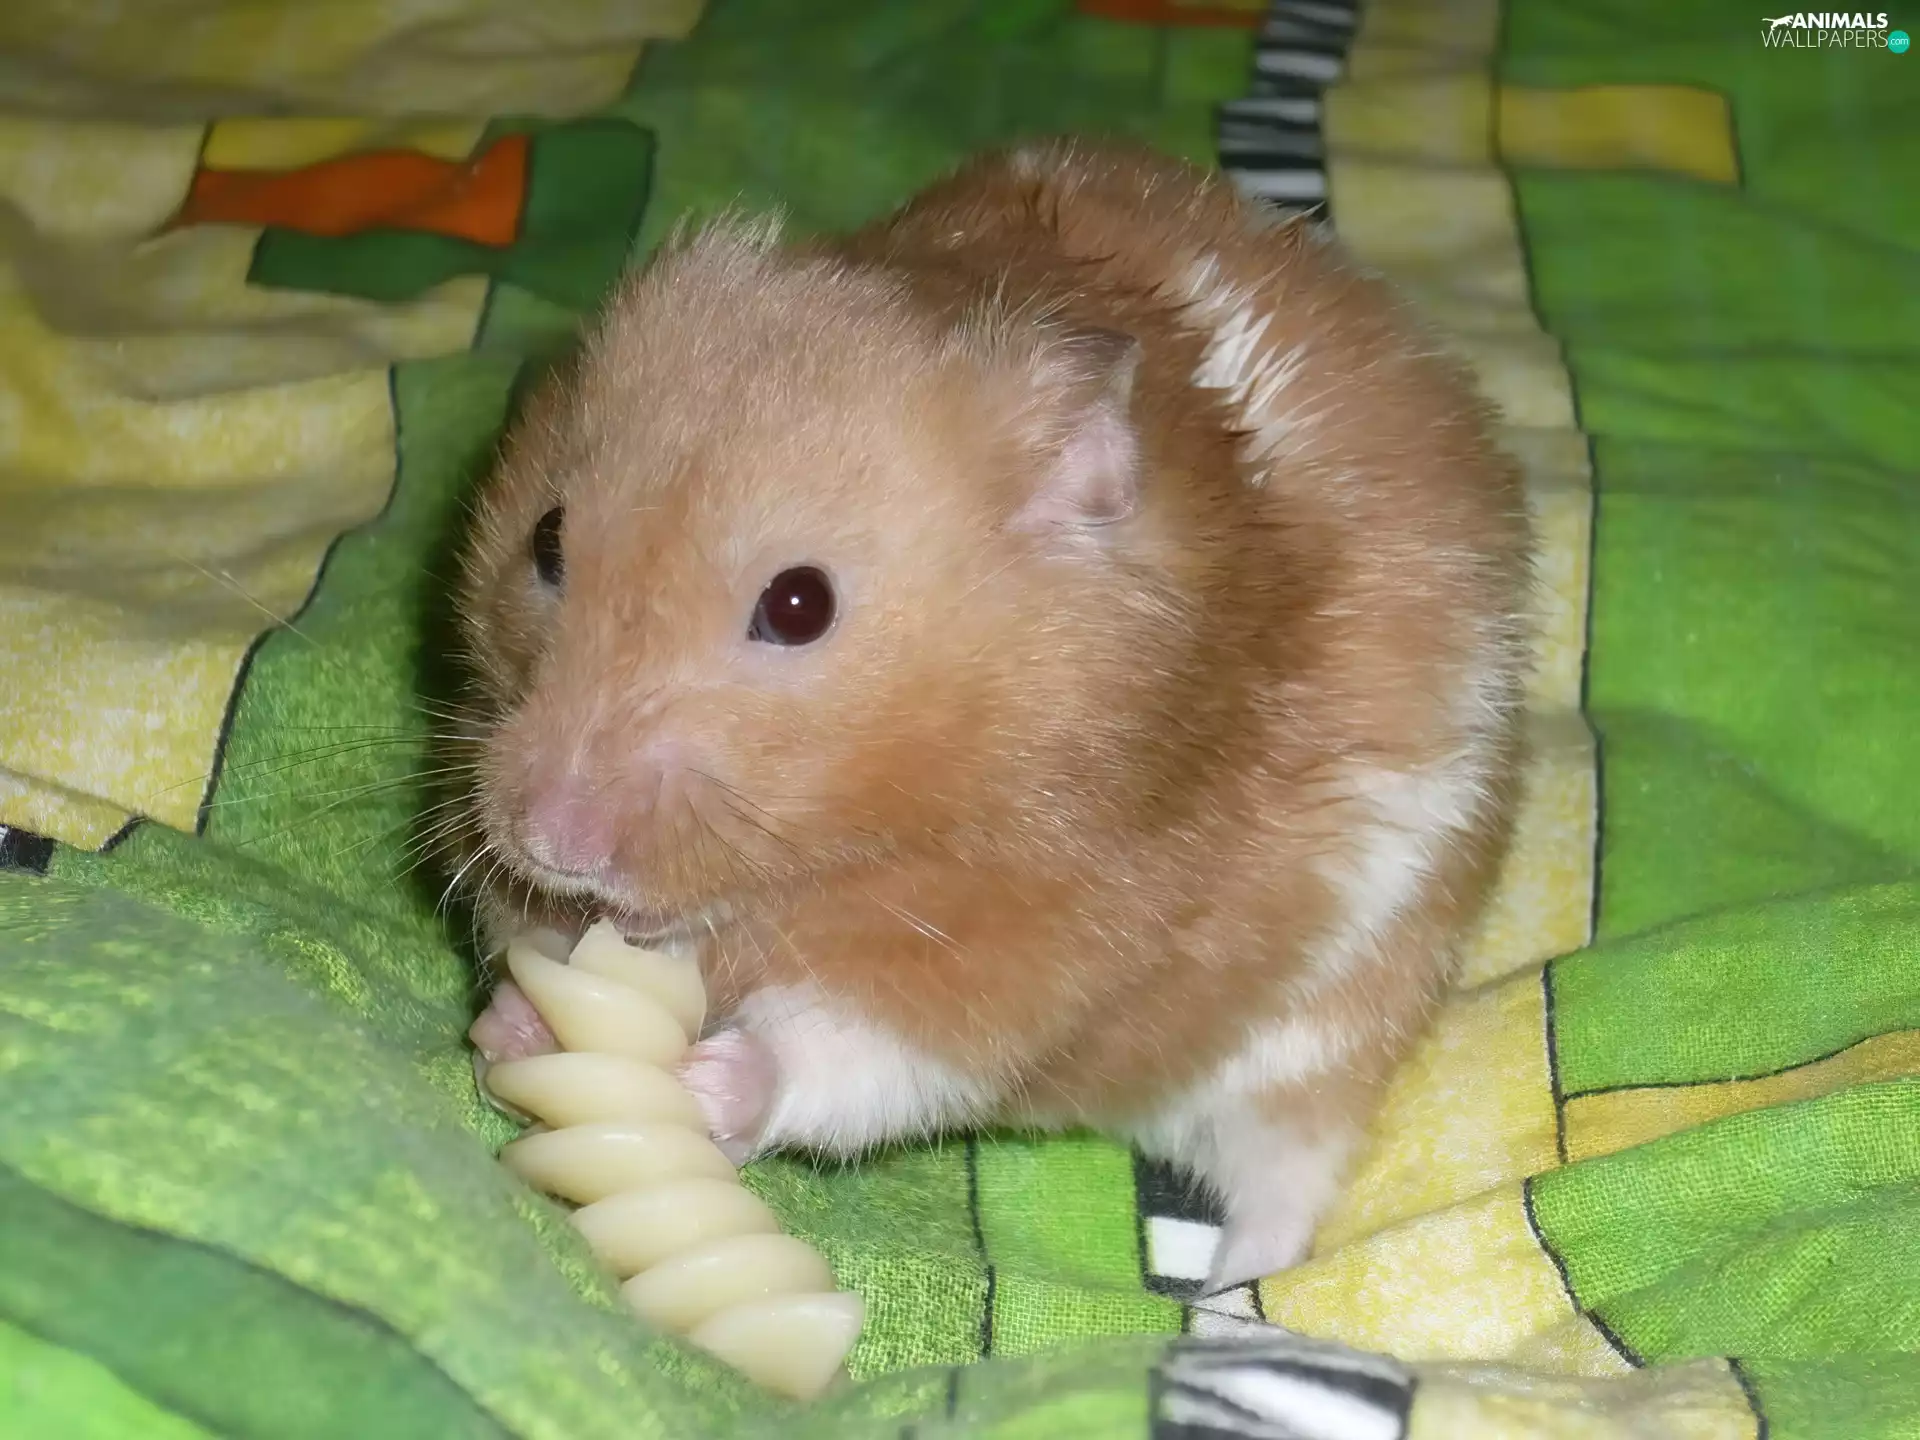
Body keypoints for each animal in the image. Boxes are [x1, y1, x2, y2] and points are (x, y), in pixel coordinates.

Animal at [454, 139, 1532, 1291]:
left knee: (1292, 1177)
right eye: (547, 539)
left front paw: (709, 1085)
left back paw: (1224, 1288)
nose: (550, 843)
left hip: (1339, 1014)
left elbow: (854, 1051)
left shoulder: (1047, 946)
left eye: (799, 606)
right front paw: (512, 1028)